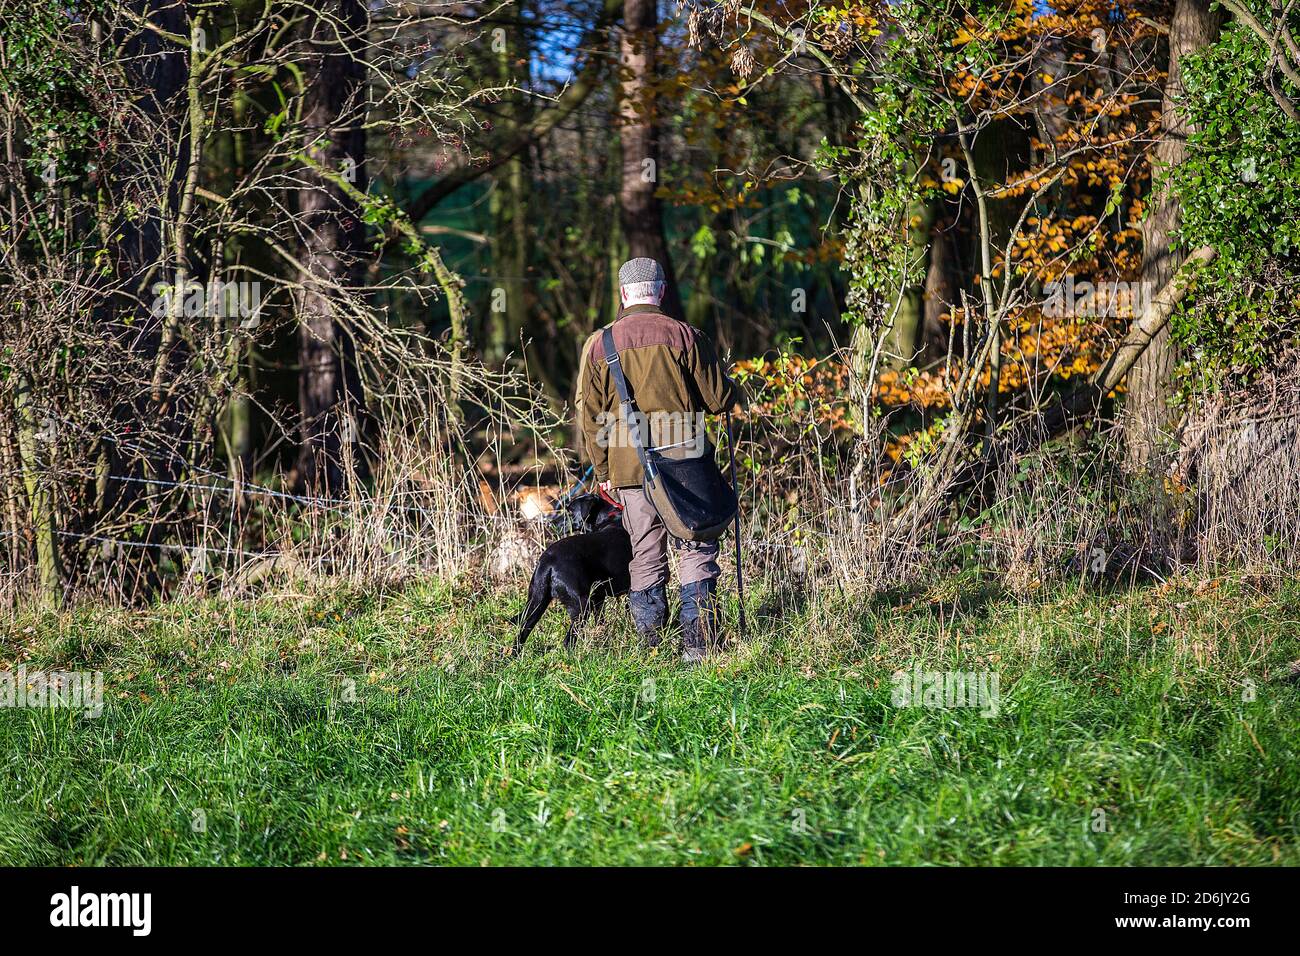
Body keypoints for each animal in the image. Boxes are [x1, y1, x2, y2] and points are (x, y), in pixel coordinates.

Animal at [509, 494, 631, 658]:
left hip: (537, 602)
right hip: (581, 606)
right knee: (568, 641)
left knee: (523, 632)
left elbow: (601, 623)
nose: (551, 523)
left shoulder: (599, 598)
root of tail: (547, 561)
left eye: (570, 511)